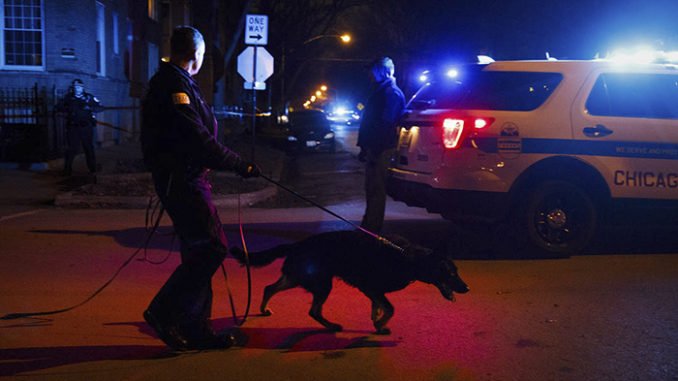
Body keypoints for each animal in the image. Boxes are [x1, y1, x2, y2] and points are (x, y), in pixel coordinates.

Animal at [141, 25, 260, 348]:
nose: (200, 63)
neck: (173, 70)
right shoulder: (180, 102)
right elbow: (199, 135)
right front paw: (244, 165)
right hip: (193, 206)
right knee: (208, 250)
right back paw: (163, 323)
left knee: (193, 253)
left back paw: (198, 334)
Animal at [231, 229, 470, 332]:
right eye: (450, 273)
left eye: (456, 271)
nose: (467, 288)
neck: (409, 257)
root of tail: (297, 244)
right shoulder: (371, 287)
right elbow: (390, 308)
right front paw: (380, 324)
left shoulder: (374, 291)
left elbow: (379, 306)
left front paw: (376, 319)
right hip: (321, 284)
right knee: (313, 311)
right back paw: (331, 326)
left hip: (297, 277)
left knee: (269, 288)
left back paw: (263, 308)